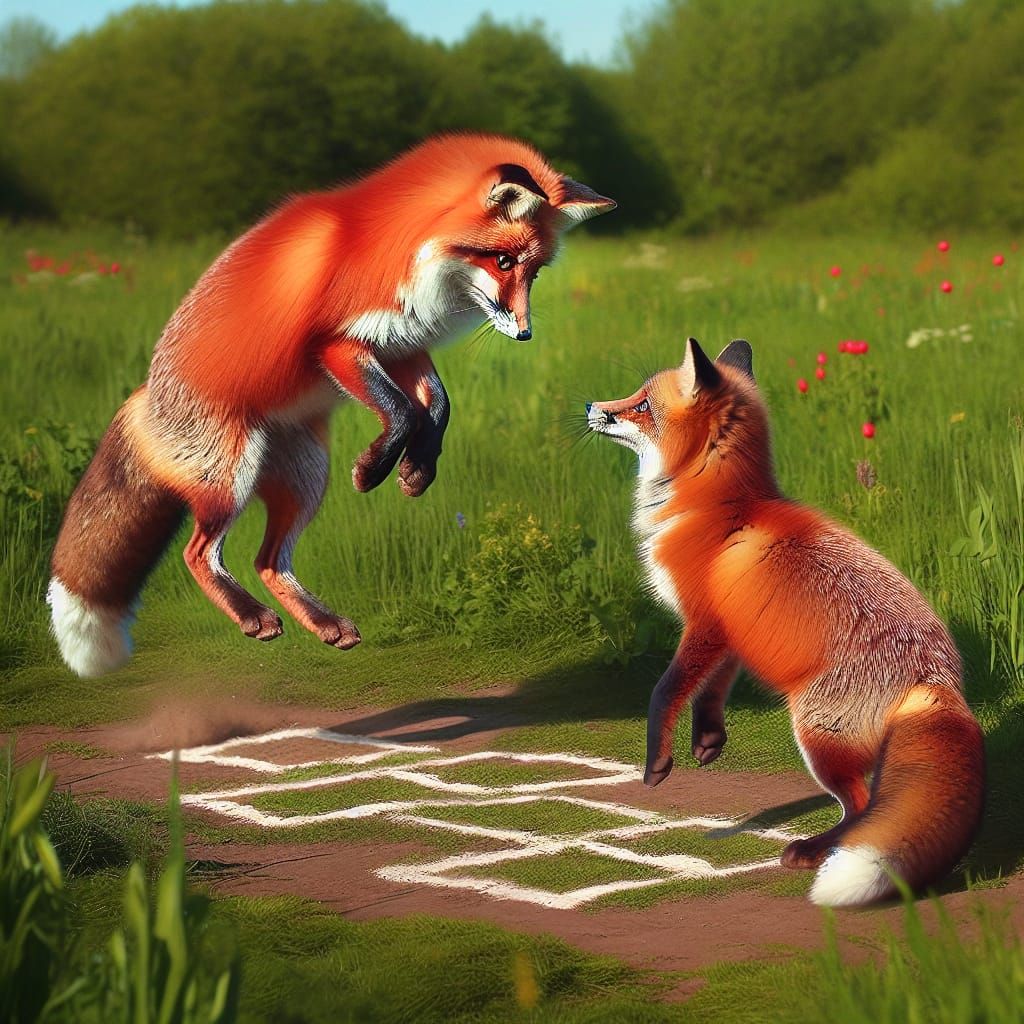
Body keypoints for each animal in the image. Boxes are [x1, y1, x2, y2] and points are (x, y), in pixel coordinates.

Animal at [49, 133, 615, 678]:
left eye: (534, 273)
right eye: (503, 261)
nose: (524, 334)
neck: (406, 254)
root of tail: (146, 396)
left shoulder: (402, 345)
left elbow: (438, 406)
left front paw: (416, 471)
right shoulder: (338, 345)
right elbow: (401, 410)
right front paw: (374, 471)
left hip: (306, 479)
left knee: (268, 561)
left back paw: (324, 623)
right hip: (229, 474)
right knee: (198, 553)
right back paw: (251, 615)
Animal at [586, 337, 984, 906]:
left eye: (641, 404)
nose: (590, 407)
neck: (719, 510)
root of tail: (939, 680)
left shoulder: (704, 623)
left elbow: (666, 690)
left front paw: (657, 763)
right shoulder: (735, 628)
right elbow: (713, 688)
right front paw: (708, 740)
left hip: (816, 734)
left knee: (862, 805)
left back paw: (814, 851)